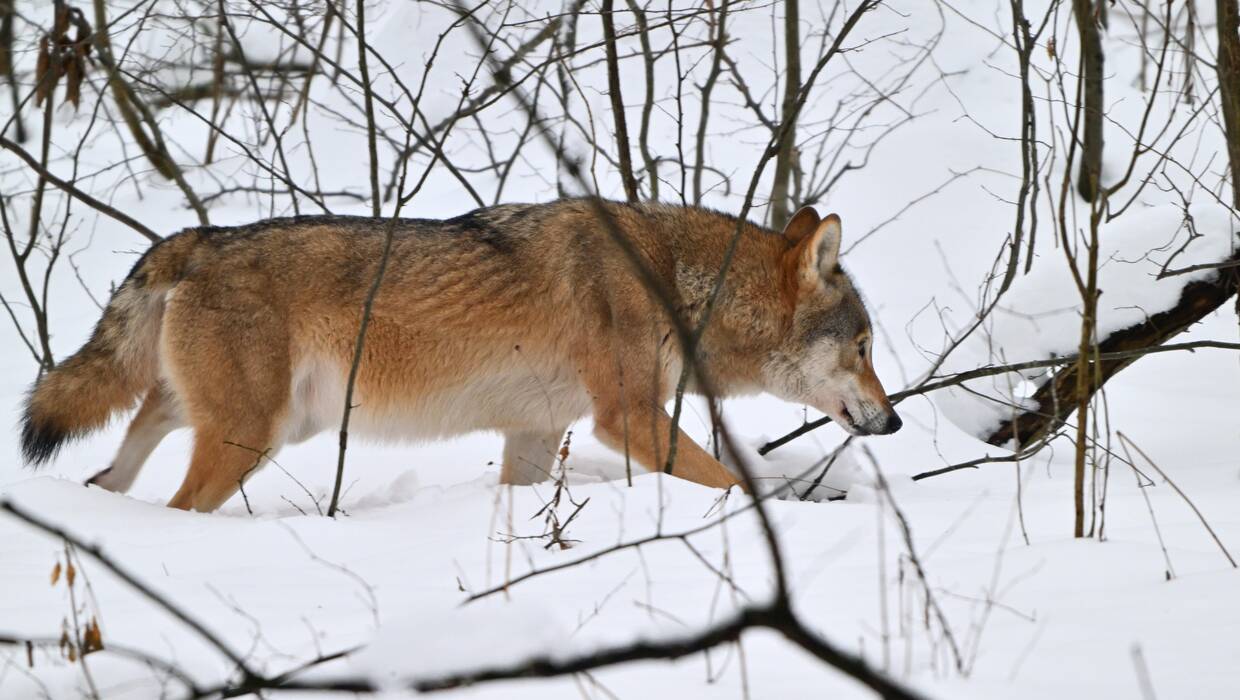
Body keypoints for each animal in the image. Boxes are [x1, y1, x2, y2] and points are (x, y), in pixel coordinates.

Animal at [21, 199, 902, 510]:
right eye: (863, 347)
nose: (893, 423)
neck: (677, 279)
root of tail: (200, 237)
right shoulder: (629, 419)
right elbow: (730, 483)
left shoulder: (537, 434)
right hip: (253, 437)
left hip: (249, 422)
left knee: (117, 466)